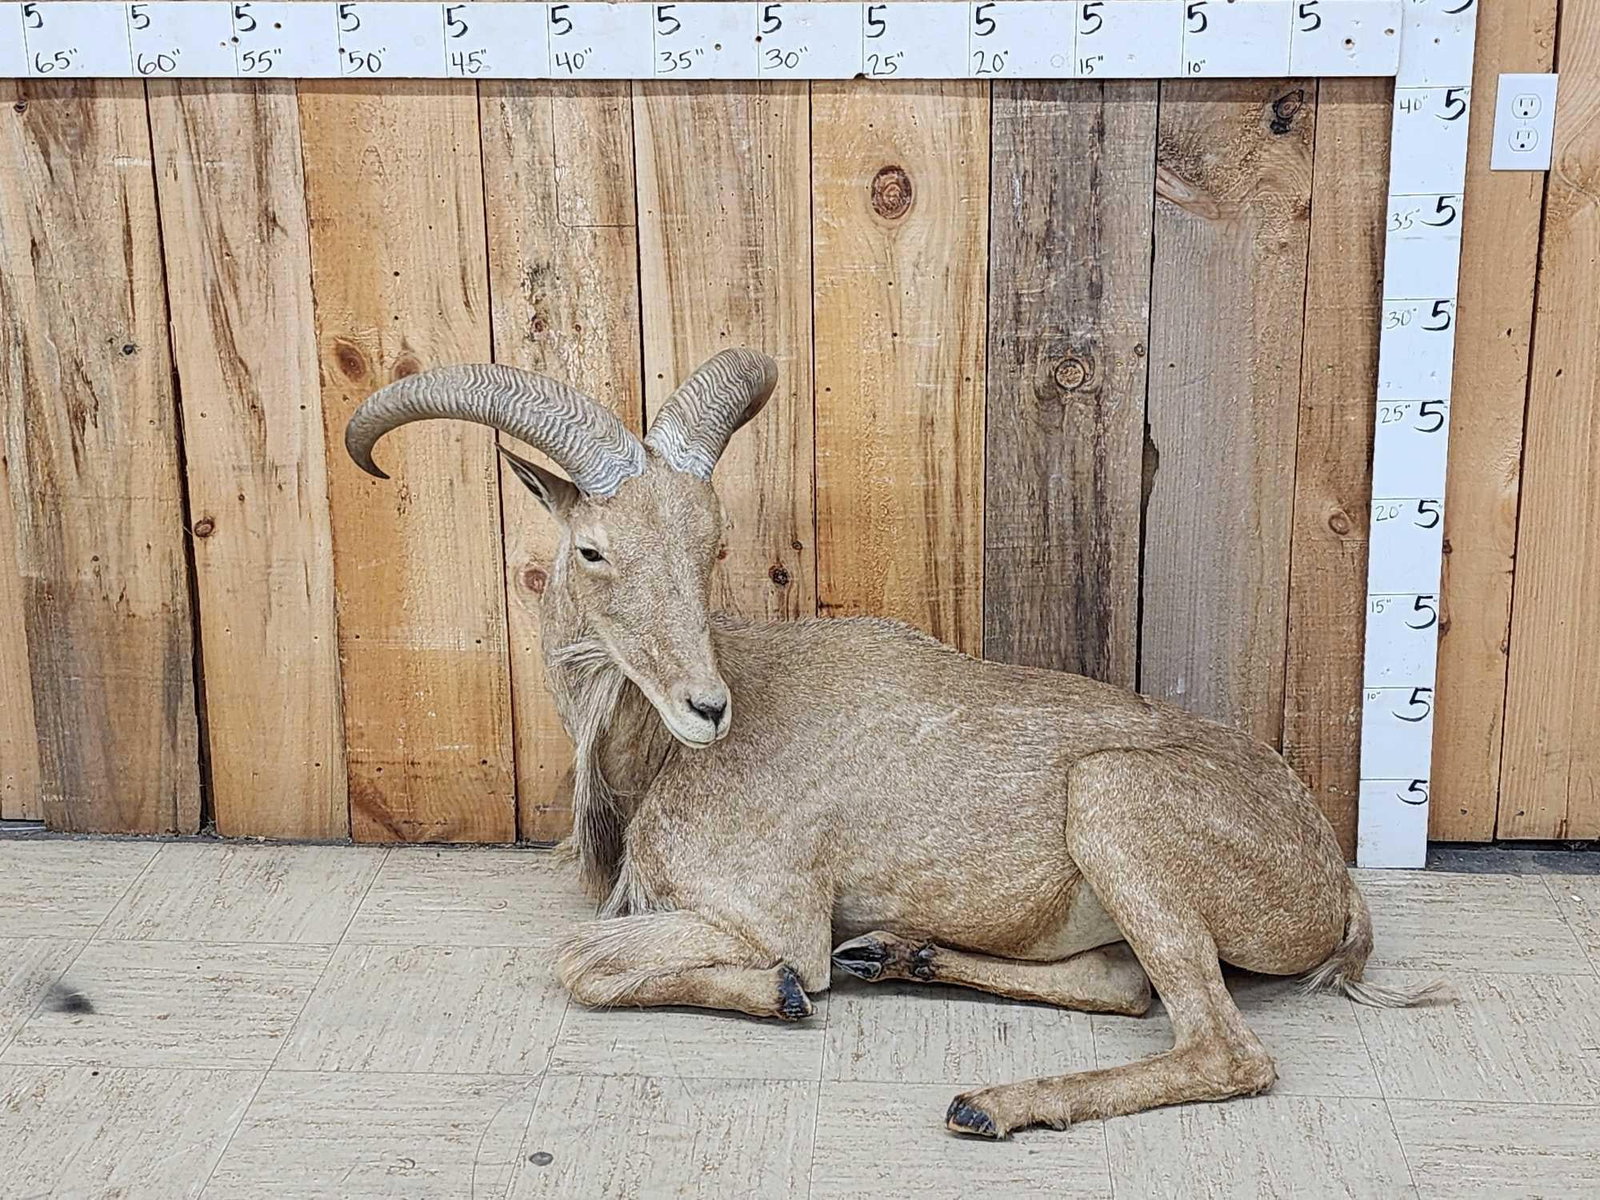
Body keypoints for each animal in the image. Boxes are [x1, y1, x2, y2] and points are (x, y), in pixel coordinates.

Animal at [345, 349, 1444, 1138]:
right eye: (592, 549)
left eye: (711, 546)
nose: (707, 707)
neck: (652, 763)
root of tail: (1332, 886)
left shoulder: (765, 910)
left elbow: (586, 960)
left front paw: (784, 992)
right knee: (1123, 984)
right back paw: (901, 954)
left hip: (1115, 804)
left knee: (1223, 1049)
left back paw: (993, 1101)